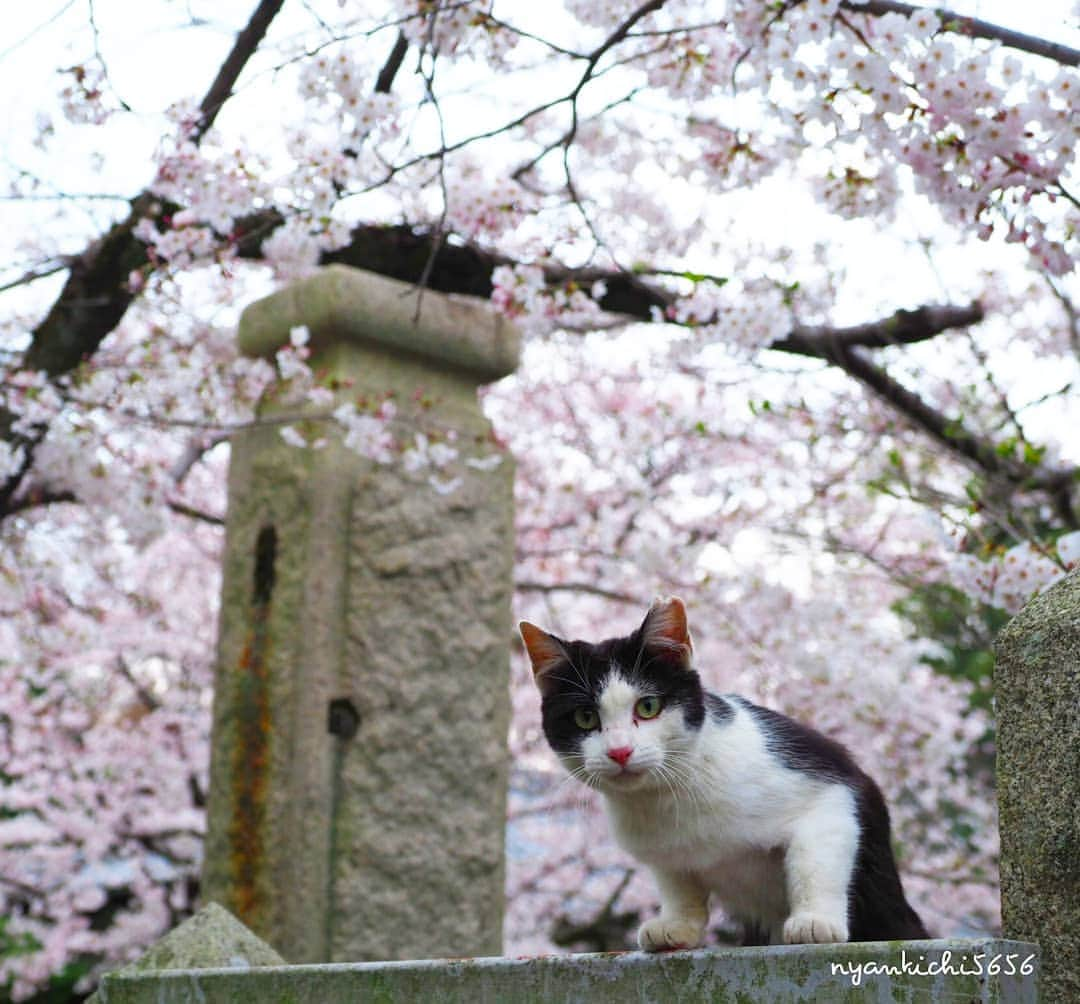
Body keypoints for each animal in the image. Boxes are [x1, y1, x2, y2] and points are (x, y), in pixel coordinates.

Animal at [516, 600, 928, 950]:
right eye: (585, 717)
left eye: (648, 707)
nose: (620, 751)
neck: (668, 795)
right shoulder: (665, 853)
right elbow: (678, 882)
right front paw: (677, 926)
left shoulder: (828, 785)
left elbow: (813, 859)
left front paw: (814, 921)